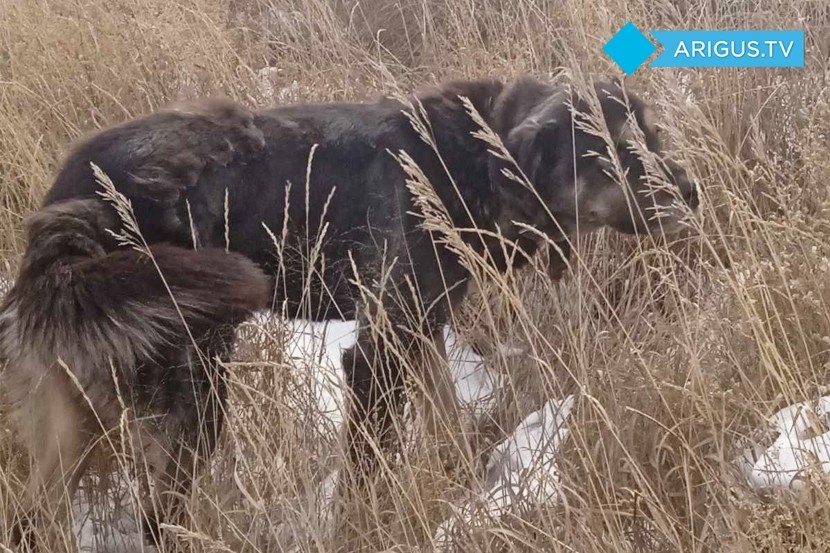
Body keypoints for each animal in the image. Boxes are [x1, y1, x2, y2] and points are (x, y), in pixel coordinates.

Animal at [1, 76, 704, 548]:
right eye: (610, 152)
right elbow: (367, 474)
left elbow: (448, 418)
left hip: (76, 415)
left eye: (651, 136)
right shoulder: (376, 351)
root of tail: (71, 208)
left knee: (35, 518)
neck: (465, 160)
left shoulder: (421, 333)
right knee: (155, 519)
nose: (692, 190)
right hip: (191, 396)